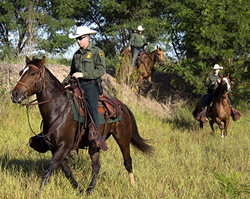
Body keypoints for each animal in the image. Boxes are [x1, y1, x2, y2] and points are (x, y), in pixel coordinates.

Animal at [9, 56, 152, 194]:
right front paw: (80, 190)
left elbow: (48, 170)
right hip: (95, 144)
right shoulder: (55, 148)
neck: (59, 109)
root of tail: (122, 105)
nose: (14, 94)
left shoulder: (63, 147)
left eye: (32, 73)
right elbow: (67, 172)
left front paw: (38, 194)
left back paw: (132, 186)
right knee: (96, 165)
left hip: (123, 139)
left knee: (128, 161)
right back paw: (90, 190)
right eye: (20, 72)